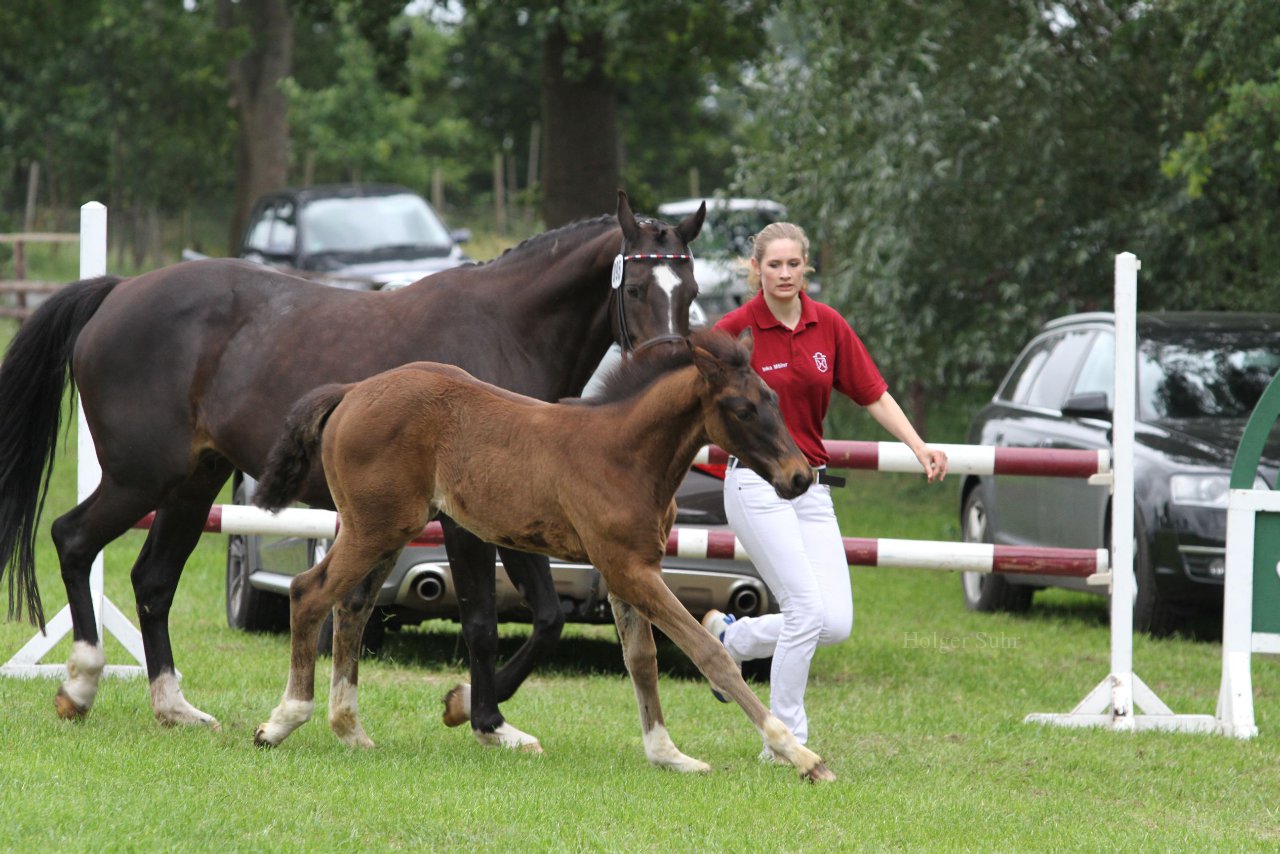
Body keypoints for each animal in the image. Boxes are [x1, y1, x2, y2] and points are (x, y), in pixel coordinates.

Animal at [0, 192, 701, 742]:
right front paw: (480, 716)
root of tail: (119, 291)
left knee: (152, 581)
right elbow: (482, 618)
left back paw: (175, 708)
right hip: (141, 478)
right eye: (637, 288)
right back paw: (81, 686)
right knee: (74, 540)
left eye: (691, 292)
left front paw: (476, 709)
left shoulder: (514, 514)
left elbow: (548, 617)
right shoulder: (464, 522)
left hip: (193, 485)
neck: (506, 330)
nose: (668, 373)